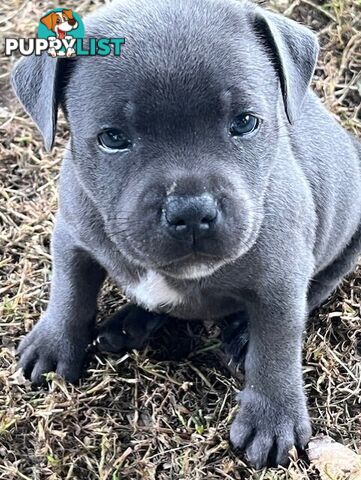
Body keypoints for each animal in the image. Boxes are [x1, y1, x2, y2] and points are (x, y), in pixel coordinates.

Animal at [11, 0, 360, 468]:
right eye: (113, 138)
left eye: (245, 123)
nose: (191, 211)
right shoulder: (72, 235)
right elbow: (69, 292)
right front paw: (53, 345)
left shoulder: (281, 279)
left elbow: (277, 346)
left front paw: (273, 418)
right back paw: (128, 325)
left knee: (319, 287)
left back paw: (239, 335)